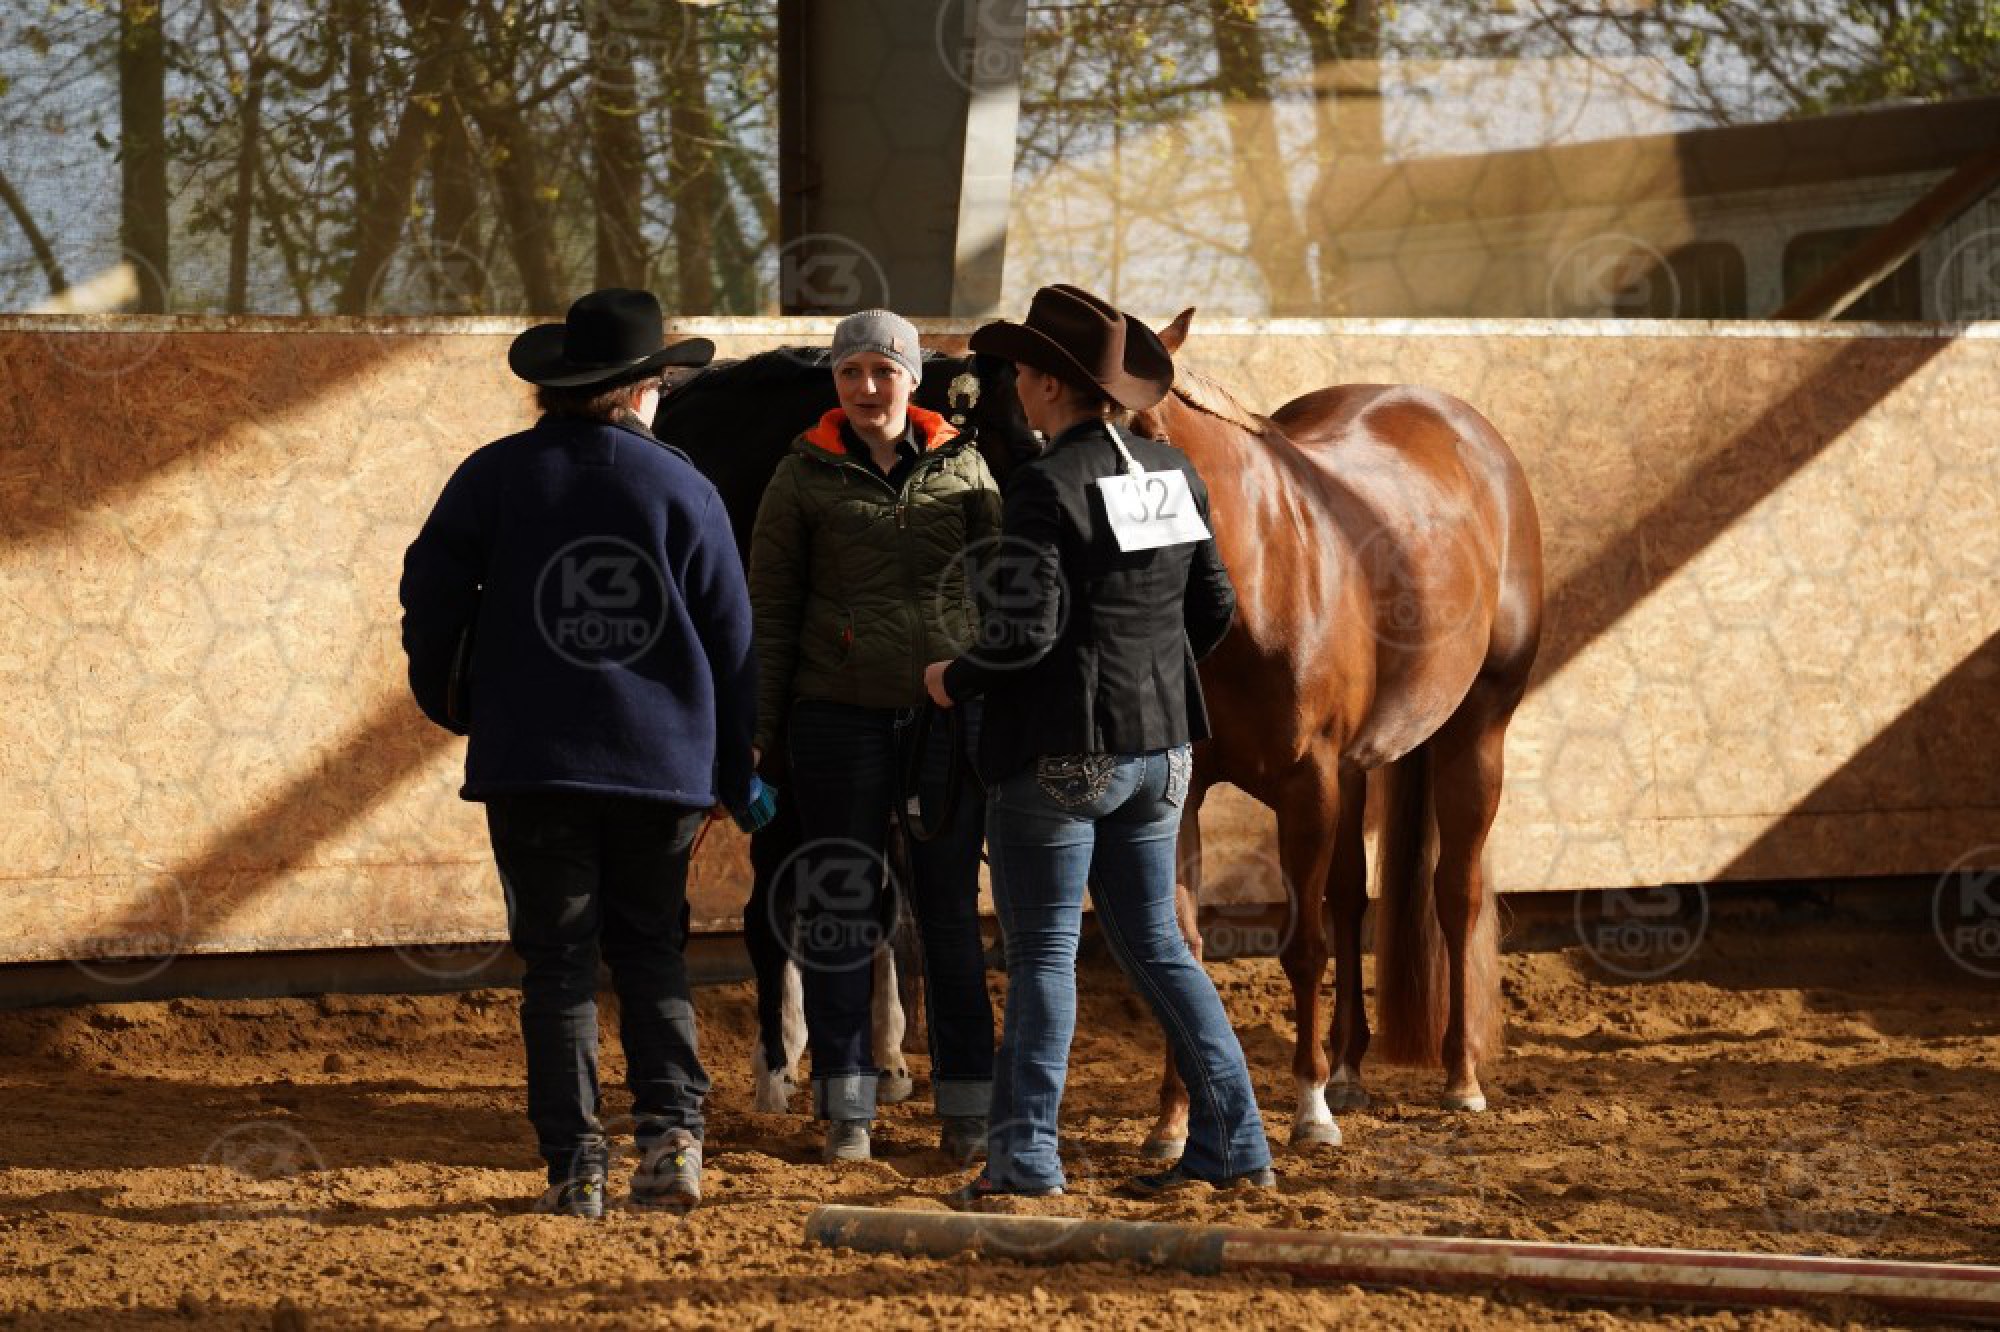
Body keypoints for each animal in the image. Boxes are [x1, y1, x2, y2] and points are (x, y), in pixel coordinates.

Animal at [1131, 310, 1544, 1156]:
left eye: (1147, 430)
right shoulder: (1187, 790)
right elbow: (1181, 946)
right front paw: (1173, 1122)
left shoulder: (1306, 784)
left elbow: (1302, 946)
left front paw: (1310, 1109)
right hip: (1356, 771)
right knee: (1353, 897)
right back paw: (1352, 1068)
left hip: (1475, 734)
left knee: (1454, 893)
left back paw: (1460, 1078)